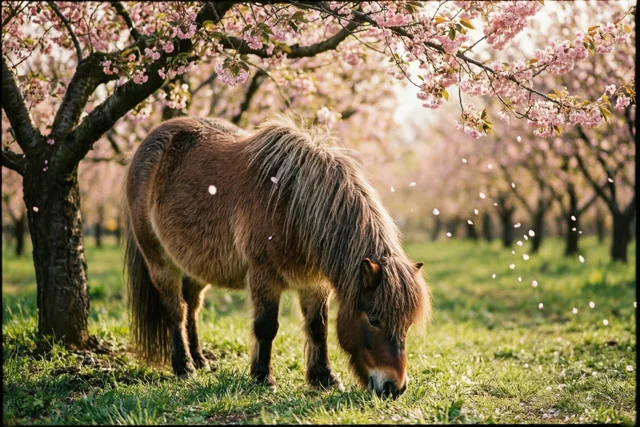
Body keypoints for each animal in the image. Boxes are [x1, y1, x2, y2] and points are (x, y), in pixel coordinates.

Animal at [123, 115, 431, 398]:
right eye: (375, 319)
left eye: (406, 324)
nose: (395, 388)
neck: (292, 204)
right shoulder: (264, 277)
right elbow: (266, 327)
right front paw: (262, 378)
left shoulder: (314, 283)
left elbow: (318, 328)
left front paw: (324, 378)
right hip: (160, 262)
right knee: (175, 311)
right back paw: (184, 366)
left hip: (197, 266)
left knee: (192, 308)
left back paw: (199, 359)